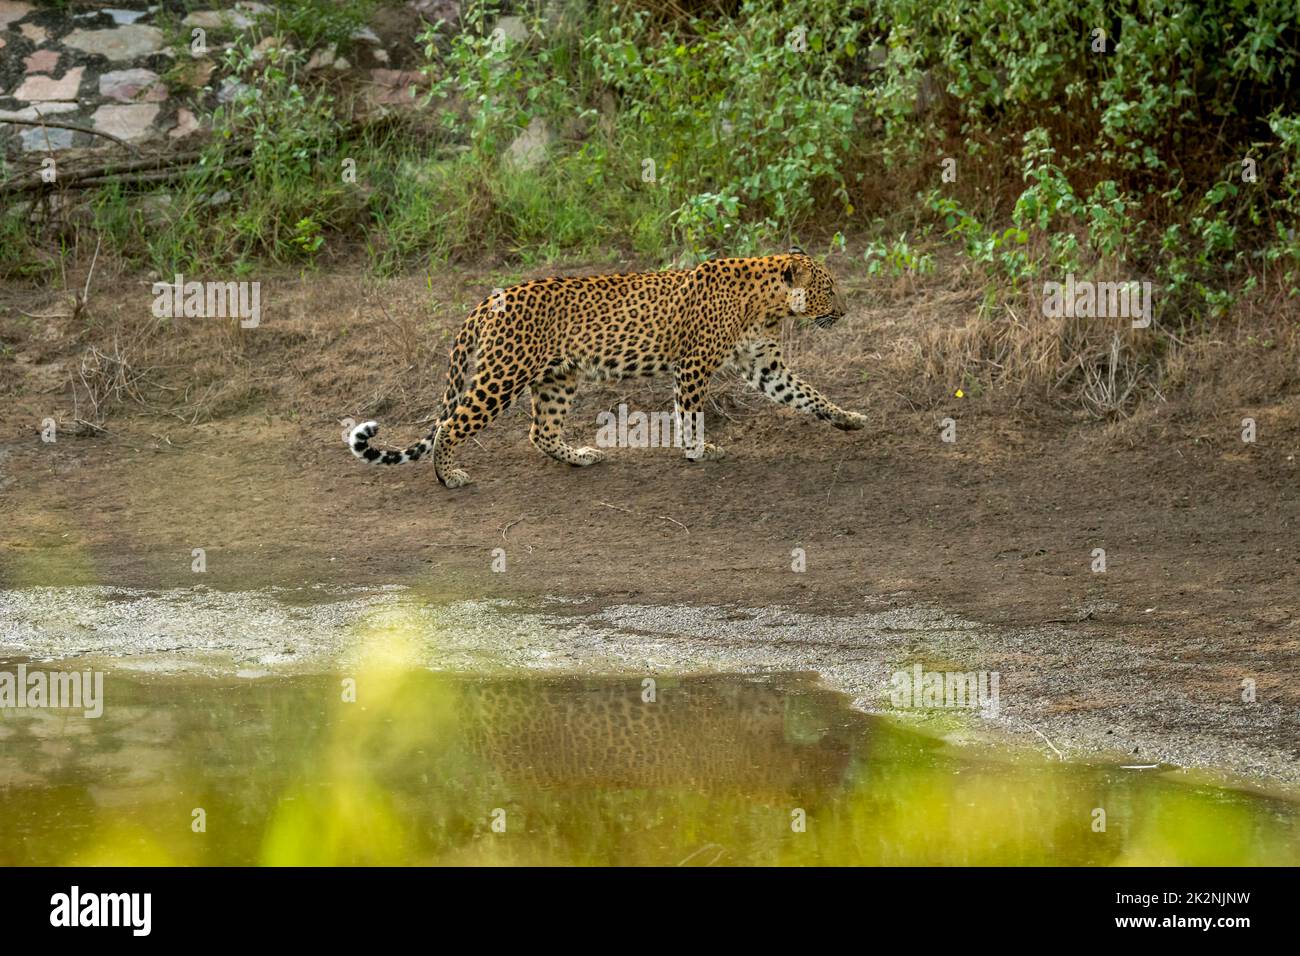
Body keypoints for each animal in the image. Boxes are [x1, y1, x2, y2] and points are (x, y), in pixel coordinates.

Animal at [348, 247, 863, 486]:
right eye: (828, 288)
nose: (844, 311)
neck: (767, 303)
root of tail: (491, 298)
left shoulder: (764, 365)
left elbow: (807, 394)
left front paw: (849, 419)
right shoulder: (694, 364)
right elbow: (690, 413)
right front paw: (696, 450)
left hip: (557, 377)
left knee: (540, 431)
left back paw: (579, 456)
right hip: (502, 374)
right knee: (451, 424)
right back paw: (448, 475)